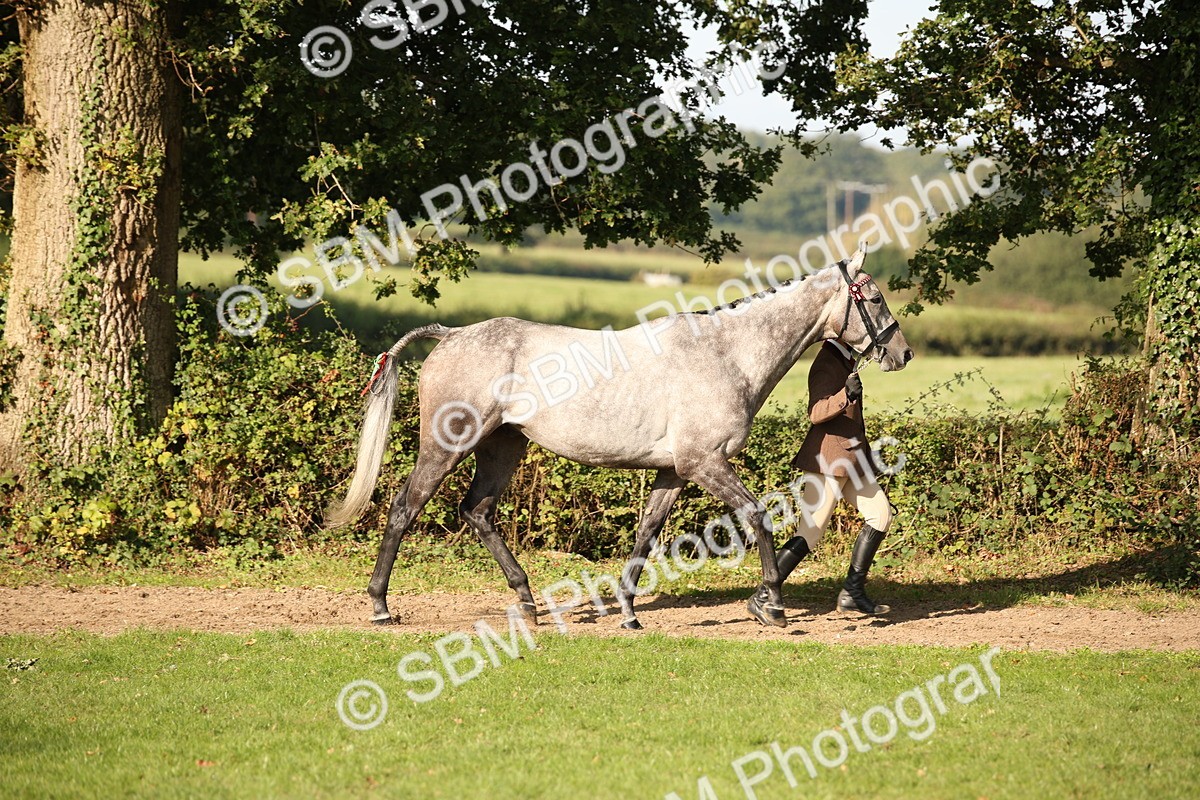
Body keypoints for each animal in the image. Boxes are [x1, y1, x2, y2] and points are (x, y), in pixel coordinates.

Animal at [326, 248, 912, 629]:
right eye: (874, 297)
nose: (902, 354)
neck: (726, 354)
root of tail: (450, 336)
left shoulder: (674, 471)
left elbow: (646, 533)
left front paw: (630, 613)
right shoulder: (705, 464)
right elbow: (757, 516)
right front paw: (770, 605)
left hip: (505, 446)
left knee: (478, 512)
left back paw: (528, 603)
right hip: (448, 446)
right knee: (404, 508)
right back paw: (380, 606)